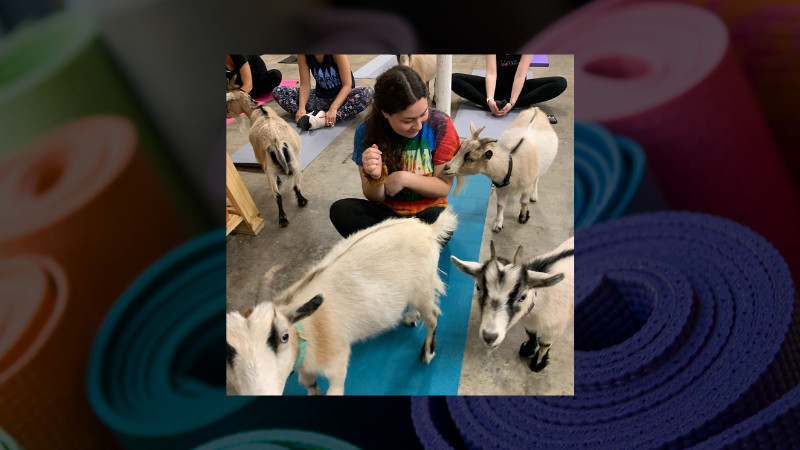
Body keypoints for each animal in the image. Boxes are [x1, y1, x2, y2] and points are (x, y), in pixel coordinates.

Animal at [228, 77, 312, 227]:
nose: (226, 113)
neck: (259, 111)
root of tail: (276, 142)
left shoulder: (261, 159)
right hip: (294, 162)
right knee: (294, 186)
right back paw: (300, 202)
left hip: (272, 168)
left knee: (278, 194)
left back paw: (283, 218)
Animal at [228, 207, 460, 394]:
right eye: (229, 350)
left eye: (283, 336)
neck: (307, 330)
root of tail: (428, 229)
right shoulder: (305, 371)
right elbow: (309, 385)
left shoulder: (337, 362)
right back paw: (410, 317)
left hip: (424, 286)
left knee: (432, 316)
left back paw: (427, 352)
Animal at [454, 237, 572, 370]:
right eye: (478, 287)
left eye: (523, 297)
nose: (489, 337)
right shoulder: (529, 323)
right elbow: (530, 333)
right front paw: (527, 349)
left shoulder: (555, 328)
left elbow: (544, 345)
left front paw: (537, 364)